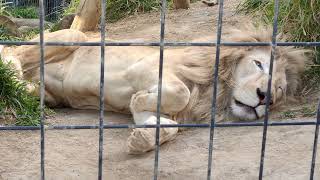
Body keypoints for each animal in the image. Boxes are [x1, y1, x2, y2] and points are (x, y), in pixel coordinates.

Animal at [0, 25, 310, 154]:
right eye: (258, 64)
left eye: (279, 90)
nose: (265, 98)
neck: (213, 92)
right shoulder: (144, 68)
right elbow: (179, 93)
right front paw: (137, 100)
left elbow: (166, 125)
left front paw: (143, 139)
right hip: (75, 35)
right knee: (12, 51)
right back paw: (12, 69)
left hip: (48, 93)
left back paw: (25, 84)